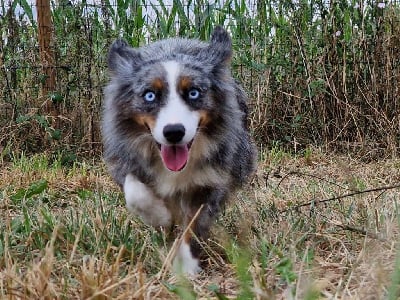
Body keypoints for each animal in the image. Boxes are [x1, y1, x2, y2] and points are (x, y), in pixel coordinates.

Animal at [101, 26, 256, 274]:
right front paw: (159, 217)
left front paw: (185, 268)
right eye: (150, 95)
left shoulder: (212, 179)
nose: (174, 132)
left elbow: (193, 224)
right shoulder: (124, 159)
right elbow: (135, 190)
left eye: (193, 93)